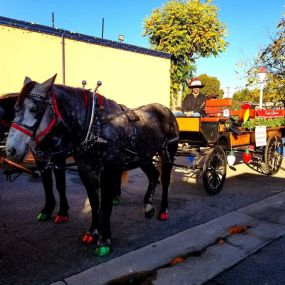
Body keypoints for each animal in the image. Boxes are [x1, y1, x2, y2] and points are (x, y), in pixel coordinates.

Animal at [5, 74, 179, 254]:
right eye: (15, 109)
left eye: (35, 109)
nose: (10, 149)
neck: (93, 127)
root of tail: (165, 109)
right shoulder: (86, 171)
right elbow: (94, 201)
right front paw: (93, 231)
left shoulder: (108, 172)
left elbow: (106, 204)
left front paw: (104, 239)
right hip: (143, 157)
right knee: (153, 175)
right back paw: (148, 206)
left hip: (167, 152)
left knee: (165, 180)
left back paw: (163, 210)